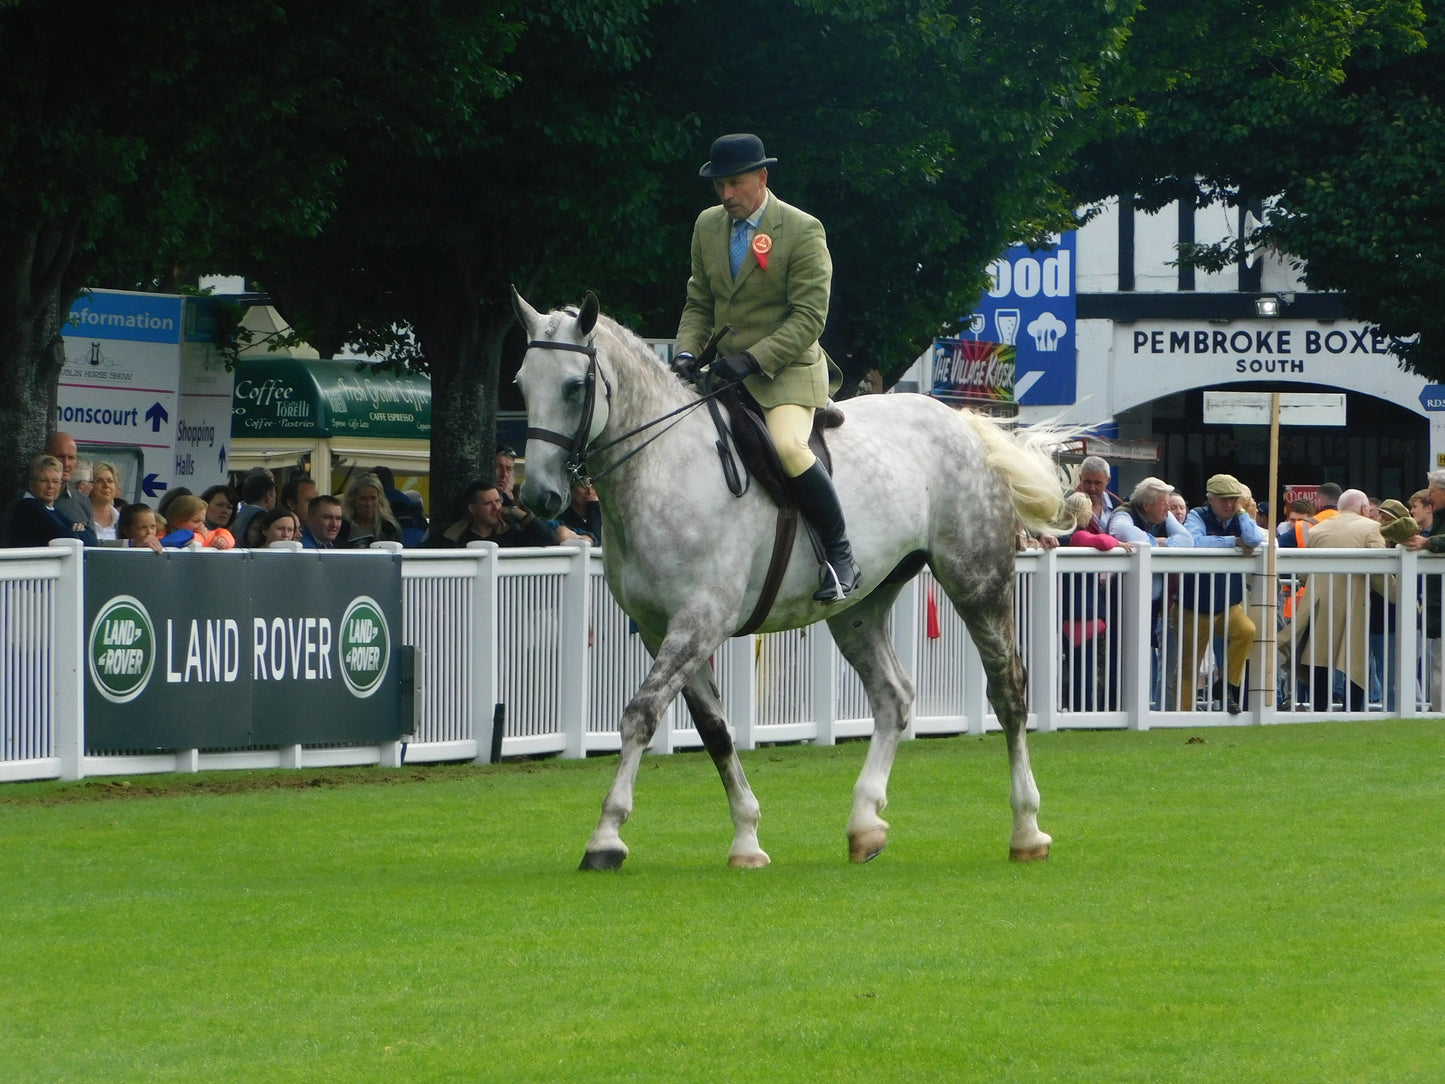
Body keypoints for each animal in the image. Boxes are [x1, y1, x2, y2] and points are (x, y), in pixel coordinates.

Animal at [514, 293, 1069, 872]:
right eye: (522, 384)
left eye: (574, 386)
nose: (538, 497)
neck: (663, 467)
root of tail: (963, 423)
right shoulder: (658, 630)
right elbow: (714, 731)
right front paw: (746, 838)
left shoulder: (698, 623)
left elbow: (641, 716)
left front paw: (606, 836)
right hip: (859, 609)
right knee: (893, 696)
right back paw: (865, 825)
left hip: (977, 582)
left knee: (1007, 690)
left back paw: (1027, 829)